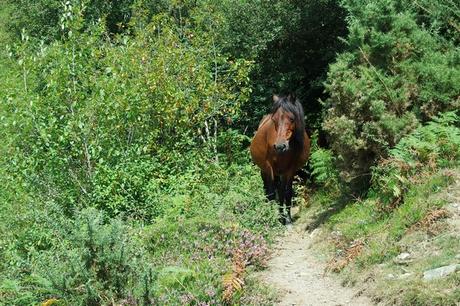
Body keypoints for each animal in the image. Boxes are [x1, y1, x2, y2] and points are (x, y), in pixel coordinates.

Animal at [250, 94, 310, 224]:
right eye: (274, 120)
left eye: (292, 119)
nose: (280, 146)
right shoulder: (269, 168)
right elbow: (272, 193)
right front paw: (273, 218)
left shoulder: (290, 170)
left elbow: (286, 193)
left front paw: (287, 219)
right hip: (265, 170)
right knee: (268, 191)